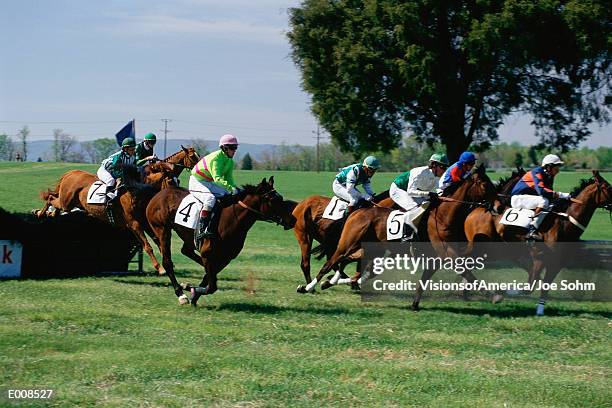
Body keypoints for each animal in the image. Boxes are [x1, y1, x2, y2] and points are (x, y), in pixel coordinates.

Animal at [144, 177, 296, 304]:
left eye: (281, 198)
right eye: (273, 200)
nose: (292, 220)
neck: (232, 219)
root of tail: (159, 193)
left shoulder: (226, 257)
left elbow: (210, 278)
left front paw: (194, 293)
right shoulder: (207, 253)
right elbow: (212, 286)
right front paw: (189, 289)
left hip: (186, 236)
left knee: (187, 252)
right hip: (163, 230)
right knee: (168, 262)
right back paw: (180, 294)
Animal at [466, 171, 608, 314]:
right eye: (608, 187)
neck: (564, 223)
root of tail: (478, 208)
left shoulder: (556, 262)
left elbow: (544, 284)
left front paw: (540, 310)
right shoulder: (538, 257)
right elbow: (530, 285)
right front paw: (501, 291)